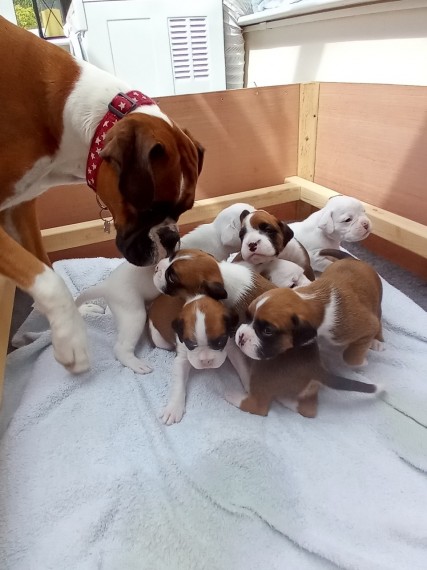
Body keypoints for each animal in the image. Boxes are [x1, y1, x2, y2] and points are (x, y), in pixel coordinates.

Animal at [0, 16, 204, 372]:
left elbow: (43, 266)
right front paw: (70, 338)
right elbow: (48, 280)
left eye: (184, 209)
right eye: (149, 209)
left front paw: (75, 315)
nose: (170, 238)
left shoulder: (20, 208)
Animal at [149, 292, 239, 422]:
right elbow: (178, 384)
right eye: (191, 344)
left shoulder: (232, 348)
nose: (206, 361)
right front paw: (174, 407)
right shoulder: (181, 359)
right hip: (159, 340)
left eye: (220, 342)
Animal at [237, 256, 384, 366]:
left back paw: (377, 341)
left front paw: (361, 362)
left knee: (379, 320)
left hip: (377, 304)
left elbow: (349, 358)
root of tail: (358, 260)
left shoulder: (359, 327)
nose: (241, 336)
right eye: (247, 316)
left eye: (268, 331)